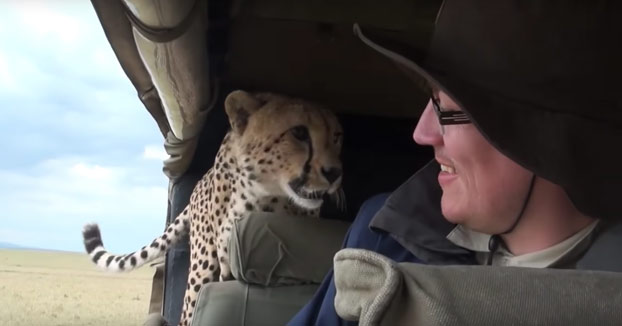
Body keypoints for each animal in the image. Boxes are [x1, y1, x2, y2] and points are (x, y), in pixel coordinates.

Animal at [80, 90, 344, 326]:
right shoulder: (227, 264)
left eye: (337, 137)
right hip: (202, 266)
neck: (271, 199)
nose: (334, 173)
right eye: (299, 132)